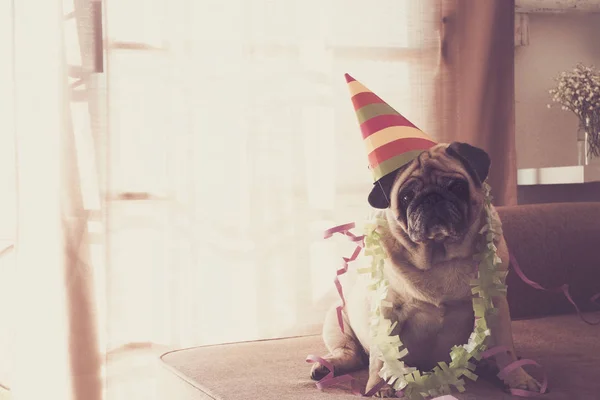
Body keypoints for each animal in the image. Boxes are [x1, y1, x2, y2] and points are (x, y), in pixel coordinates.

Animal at [310, 143, 544, 396]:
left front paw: (519, 380)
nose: (432, 198)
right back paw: (326, 367)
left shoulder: (495, 305)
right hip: (336, 322)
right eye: (406, 196)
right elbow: (382, 357)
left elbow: (505, 349)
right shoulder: (387, 312)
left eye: (458, 187)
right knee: (351, 354)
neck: (440, 257)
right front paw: (380, 386)